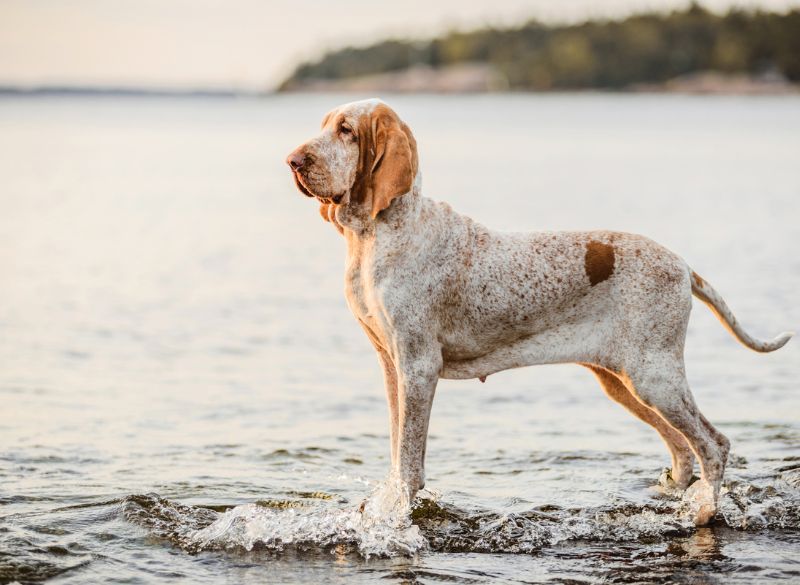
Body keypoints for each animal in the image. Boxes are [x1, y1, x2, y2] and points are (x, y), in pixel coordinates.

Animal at [284, 99, 792, 524]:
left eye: (347, 130)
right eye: (325, 125)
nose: (292, 160)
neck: (378, 235)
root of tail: (684, 266)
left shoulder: (418, 366)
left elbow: (409, 461)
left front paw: (398, 515)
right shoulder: (392, 365)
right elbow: (396, 449)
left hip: (655, 376)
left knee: (714, 445)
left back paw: (704, 512)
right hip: (626, 382)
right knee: (683, 450)